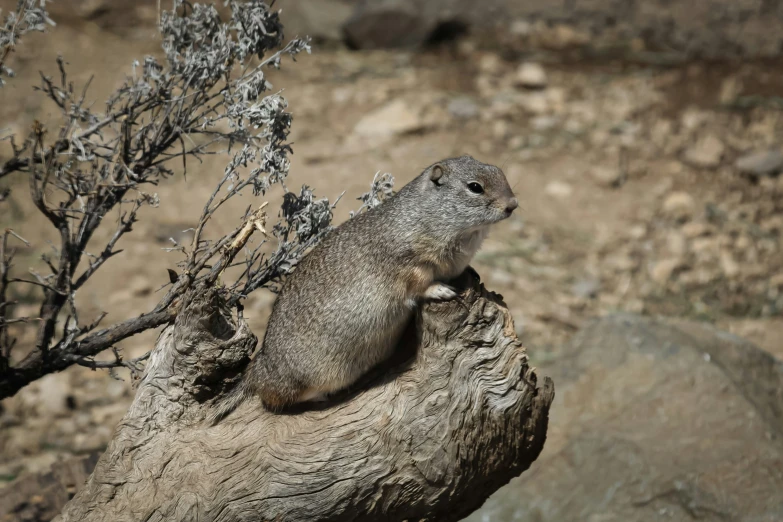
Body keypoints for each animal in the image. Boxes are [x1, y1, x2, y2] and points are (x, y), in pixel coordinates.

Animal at [210, 155, 520, 422]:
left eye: (499, 171)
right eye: (475, 187)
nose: (513, 205)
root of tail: (258, 368)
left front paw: (472, 274)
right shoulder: (409, 263)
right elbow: (420, 284)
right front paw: (441, 290)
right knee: (272, 399)